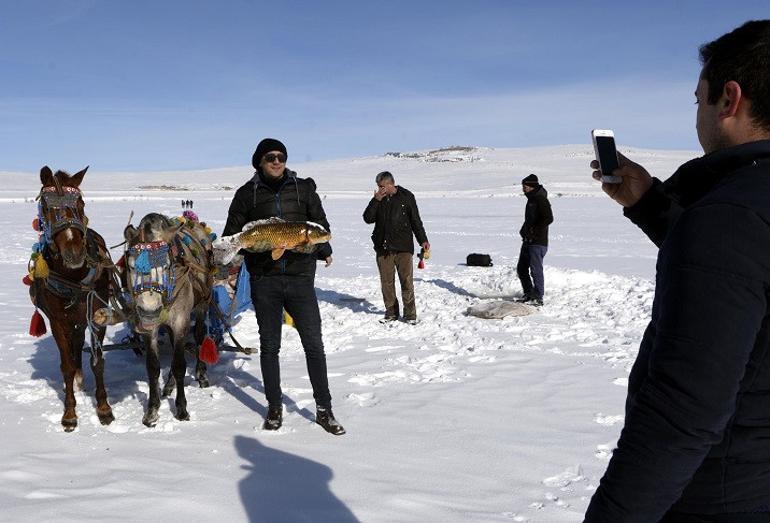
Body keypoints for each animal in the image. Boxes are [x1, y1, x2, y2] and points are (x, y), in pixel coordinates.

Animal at [29, 166, 116, 432]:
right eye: (46, 206)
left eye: (81, 203)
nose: (74, 252)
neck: (73, 276)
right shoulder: (58, 321)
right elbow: (66, 366)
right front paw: (69, 413)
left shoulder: (96, 315)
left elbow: (98, 363)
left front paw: (104, 409)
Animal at [123, 214, 214, 430]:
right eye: (131, 266)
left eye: (166, 266)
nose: (150, 311)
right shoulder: (149, 329)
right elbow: (153, 368)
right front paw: (152, 411)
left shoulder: (180, 321)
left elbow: (180, 365)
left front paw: (181, 409)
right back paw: (169, 385)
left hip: (201, 306)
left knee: (199, 336)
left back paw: (201, 375)